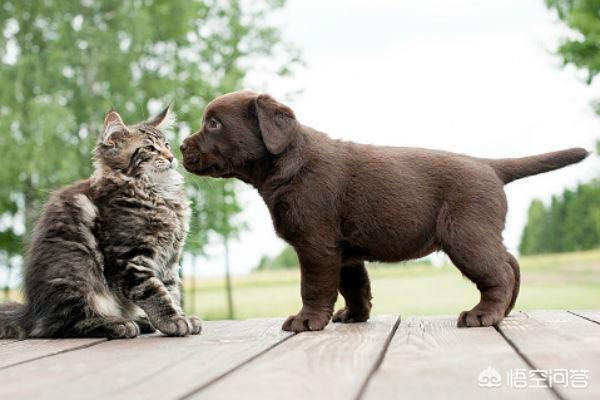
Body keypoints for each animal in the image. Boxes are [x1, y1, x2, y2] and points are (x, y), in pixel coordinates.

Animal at [0, 105, 202, 338]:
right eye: (150, 148)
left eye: (167, 145)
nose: (171, 157)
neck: (157, 192)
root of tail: (32, 313)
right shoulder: (130, 258)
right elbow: (154, 291)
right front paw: (172, 320)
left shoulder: (169, 259)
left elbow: (171, 290)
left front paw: (181, 315)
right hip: (77, 272)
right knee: (64, 325)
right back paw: (118, 324)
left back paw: (139, 320)